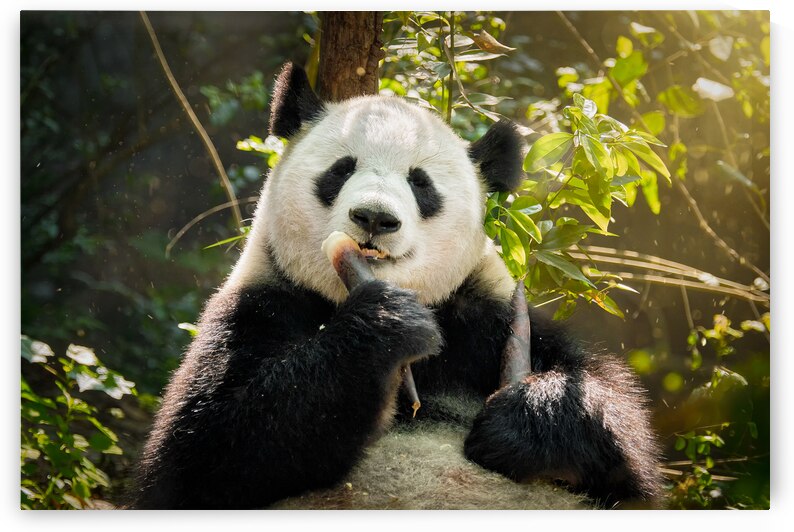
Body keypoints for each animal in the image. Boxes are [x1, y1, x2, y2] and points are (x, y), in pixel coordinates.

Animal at [130, 62, 662, 510]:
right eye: (341, 168)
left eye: (421, 183)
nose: (374, 218)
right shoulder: (261, 303)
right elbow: (203, 453)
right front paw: (387, 323)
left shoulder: (488, 315)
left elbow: (619, 433)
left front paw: (523, 419)